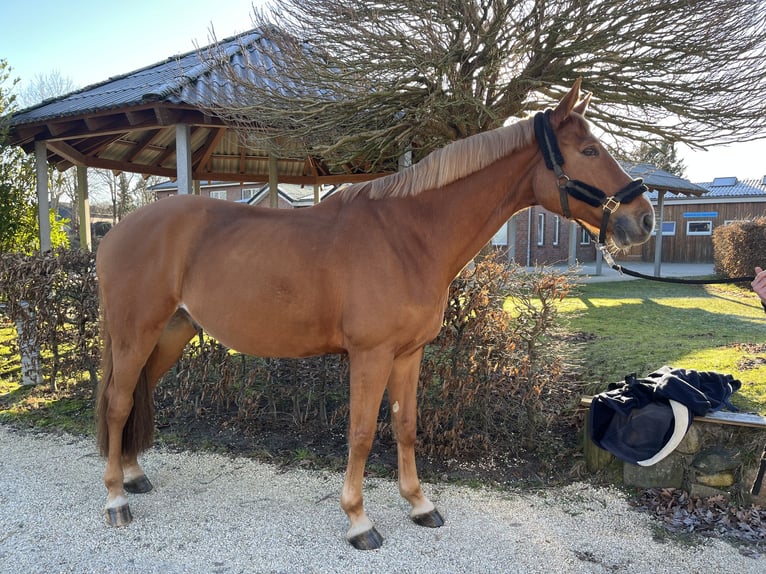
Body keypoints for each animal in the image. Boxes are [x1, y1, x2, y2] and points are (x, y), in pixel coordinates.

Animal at [96, 79, 656, 552]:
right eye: (590, 150)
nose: (644, 220)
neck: (407, 236)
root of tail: (116, 231)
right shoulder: (370, 355)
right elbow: (363, 433)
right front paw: (359, 521)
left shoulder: (408, 353)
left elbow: (405, 424)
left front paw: (420, 505)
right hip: (134, 333)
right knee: (120, 403)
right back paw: (116, 499)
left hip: (170, 334)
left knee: (139, 393)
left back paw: (134, 476)